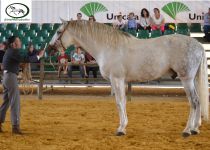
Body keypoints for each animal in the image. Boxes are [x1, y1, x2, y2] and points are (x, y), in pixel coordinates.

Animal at [48, 19, 208, 137]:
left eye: (58, 31)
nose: (49, 48)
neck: (107, 46)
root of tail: (199, 45)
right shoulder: (121, 81)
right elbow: (123, 102)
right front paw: (124, 126)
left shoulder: (117, 79)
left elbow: (119, 102)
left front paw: (120, 129)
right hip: (192, 79)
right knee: (199, 100)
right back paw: (195, 128)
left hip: (186, 79)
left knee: (193, 101)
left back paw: (187, 130)